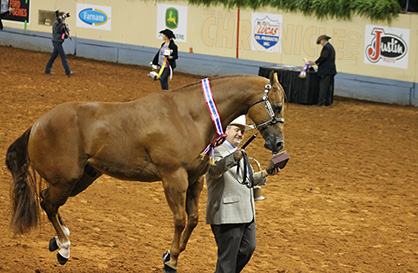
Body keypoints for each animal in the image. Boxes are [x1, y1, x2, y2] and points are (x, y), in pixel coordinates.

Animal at [6, 71, 286, 270]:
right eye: (277, 106)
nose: (278, 144)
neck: (189, 115)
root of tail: (38, 123)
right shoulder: (173, 178)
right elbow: (179, 219)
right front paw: (172, 259)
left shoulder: (195, 180)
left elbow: (194, 219)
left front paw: (171, 253)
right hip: (65, 181)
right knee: (49, 204)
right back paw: (64, 247)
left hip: (80, 179)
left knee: (48, 202)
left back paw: (61, 238)